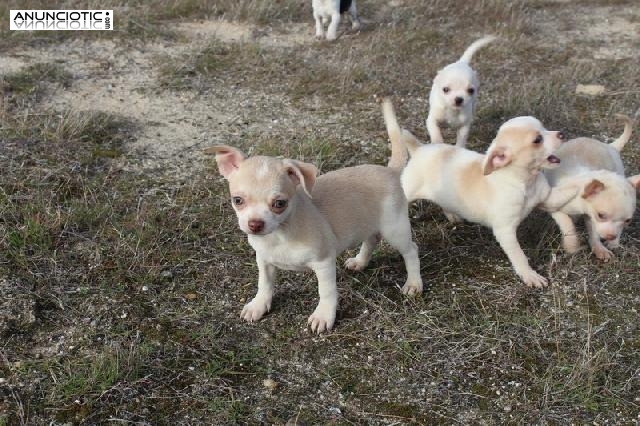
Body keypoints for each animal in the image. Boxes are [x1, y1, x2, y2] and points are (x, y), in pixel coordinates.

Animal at [206, 115, 424, 334]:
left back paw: (414, 283)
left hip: (395, 229)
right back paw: (360, 262)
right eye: (237, 200)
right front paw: (258, 305)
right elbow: (264, 283)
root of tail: (390, 170)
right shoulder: (264, 260)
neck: (280, 233)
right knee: (372, 240)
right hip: (369, 223)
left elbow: (326, 291)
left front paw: (323, 316)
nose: (255, 224)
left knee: (411, 250)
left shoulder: (324, 262)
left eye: (279, 203)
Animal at [544, 111, 640, 262]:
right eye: (601, 215)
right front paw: (571, 246)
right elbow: (567, 224)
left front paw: (600, 249)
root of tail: (610, 147)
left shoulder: (590, 217)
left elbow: (593, 233)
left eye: (628, 221)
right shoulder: (554, 209)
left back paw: (614, 243)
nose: (611, 236)